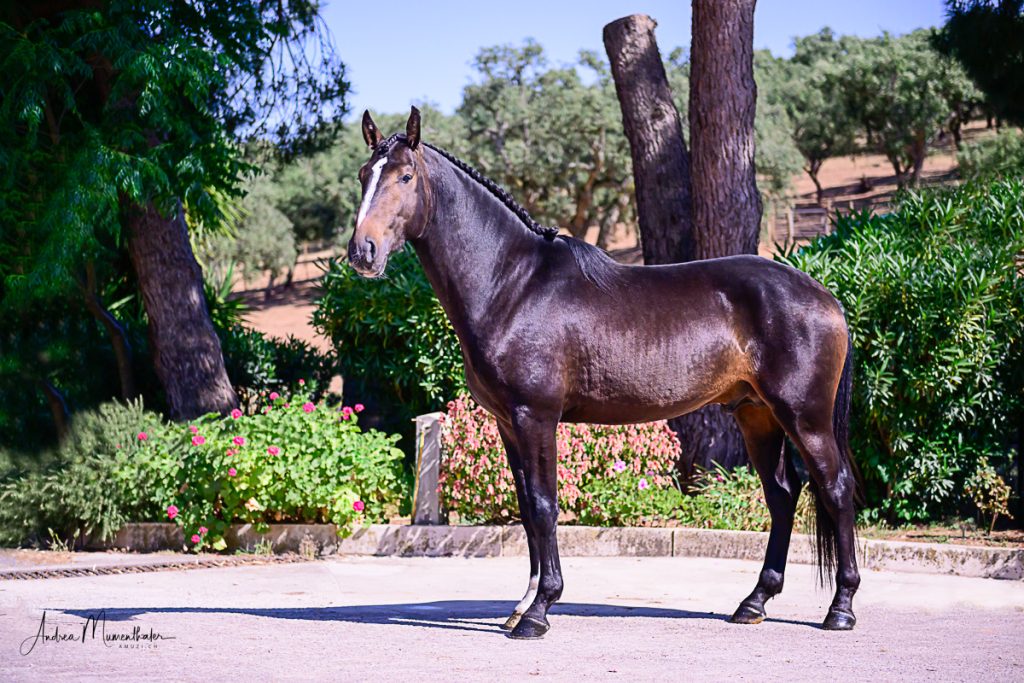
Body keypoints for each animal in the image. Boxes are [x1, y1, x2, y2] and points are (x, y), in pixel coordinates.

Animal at [348, 107, 860, 643]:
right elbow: (527, 509)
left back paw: (840, 609)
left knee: (836, 488)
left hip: (804, 417)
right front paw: (521, 605)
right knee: (782, 497)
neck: (513, 284)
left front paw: (539, 610)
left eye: (405, 176)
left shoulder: (536, 417)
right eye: (364, 175)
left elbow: (545, 506)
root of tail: (825, 296)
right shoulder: (508, 423)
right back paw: (753, 602)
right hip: (756, 415)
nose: (362, 252)